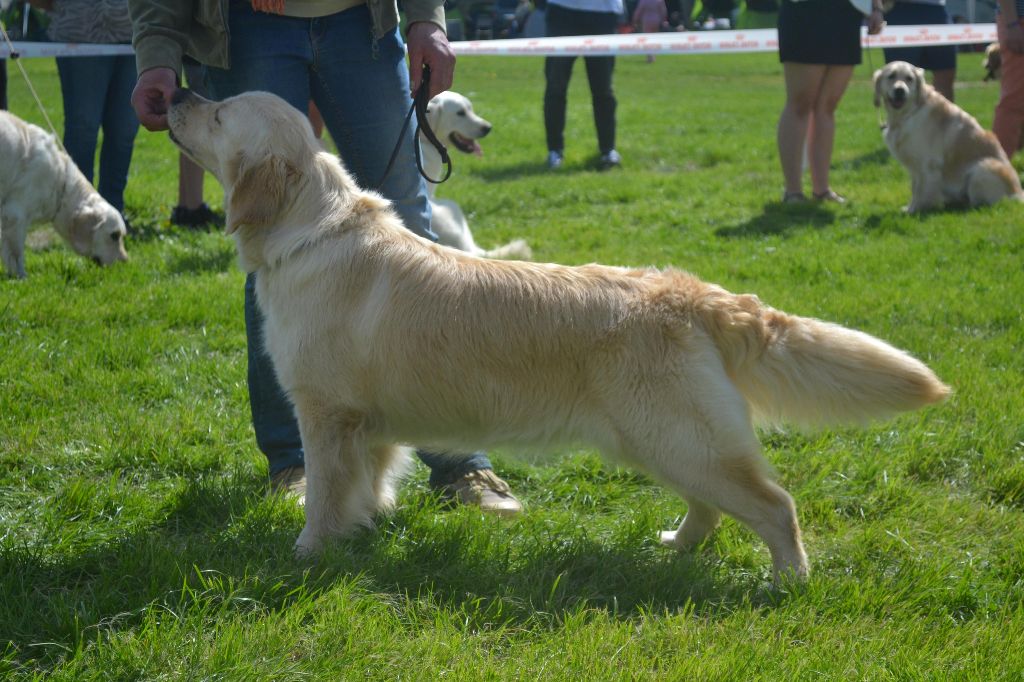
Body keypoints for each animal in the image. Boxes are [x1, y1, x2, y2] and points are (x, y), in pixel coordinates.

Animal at [0, 109, 129, 276]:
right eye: (114, 235)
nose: (126, 262)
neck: (61, 182)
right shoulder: (15, 214)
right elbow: (17, 256)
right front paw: (21, 277)